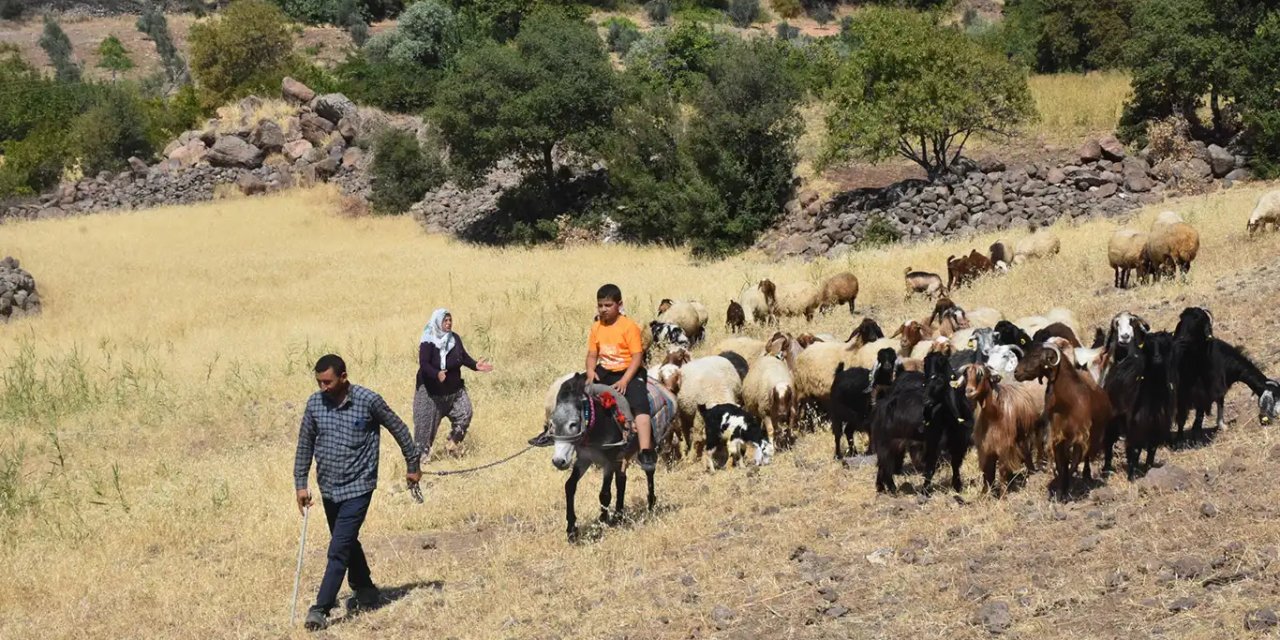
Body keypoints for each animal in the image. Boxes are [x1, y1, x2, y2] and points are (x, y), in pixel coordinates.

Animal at [1008, 343, 1111, 496]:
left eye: (1035, 355)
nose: (1016, 373)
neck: (1067, 402)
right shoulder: (1057, 437)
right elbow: (1061, 464)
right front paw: (1060, 488)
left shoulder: (1080, 436)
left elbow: (1073, 463)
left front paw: (1066, 490)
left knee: (1086, 457)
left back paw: (1086, 475)